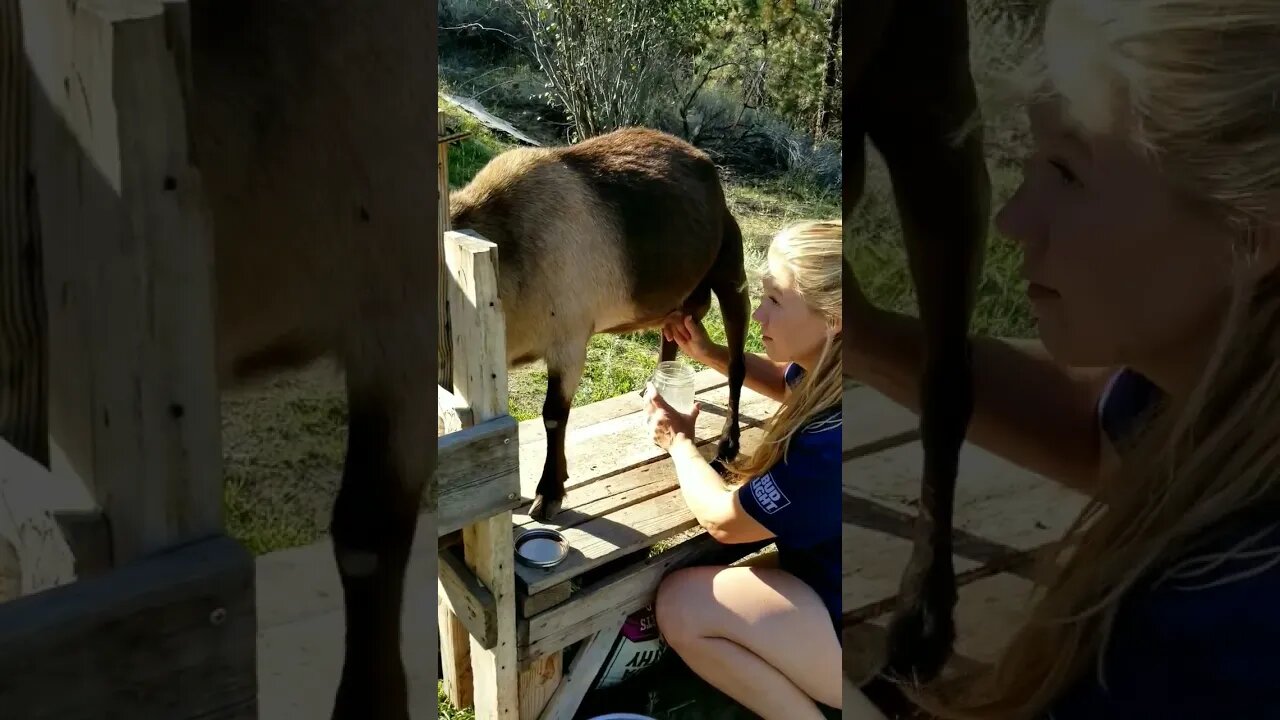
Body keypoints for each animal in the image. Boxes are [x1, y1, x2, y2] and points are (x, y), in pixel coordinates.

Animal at [448, 126, 747, 517]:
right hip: (675, 302)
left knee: (737, 364)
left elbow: (554, 415)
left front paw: (550, 492)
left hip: (731, 275)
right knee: (669, 339)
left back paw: (728, 444)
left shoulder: (569, 342)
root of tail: (706, 165)